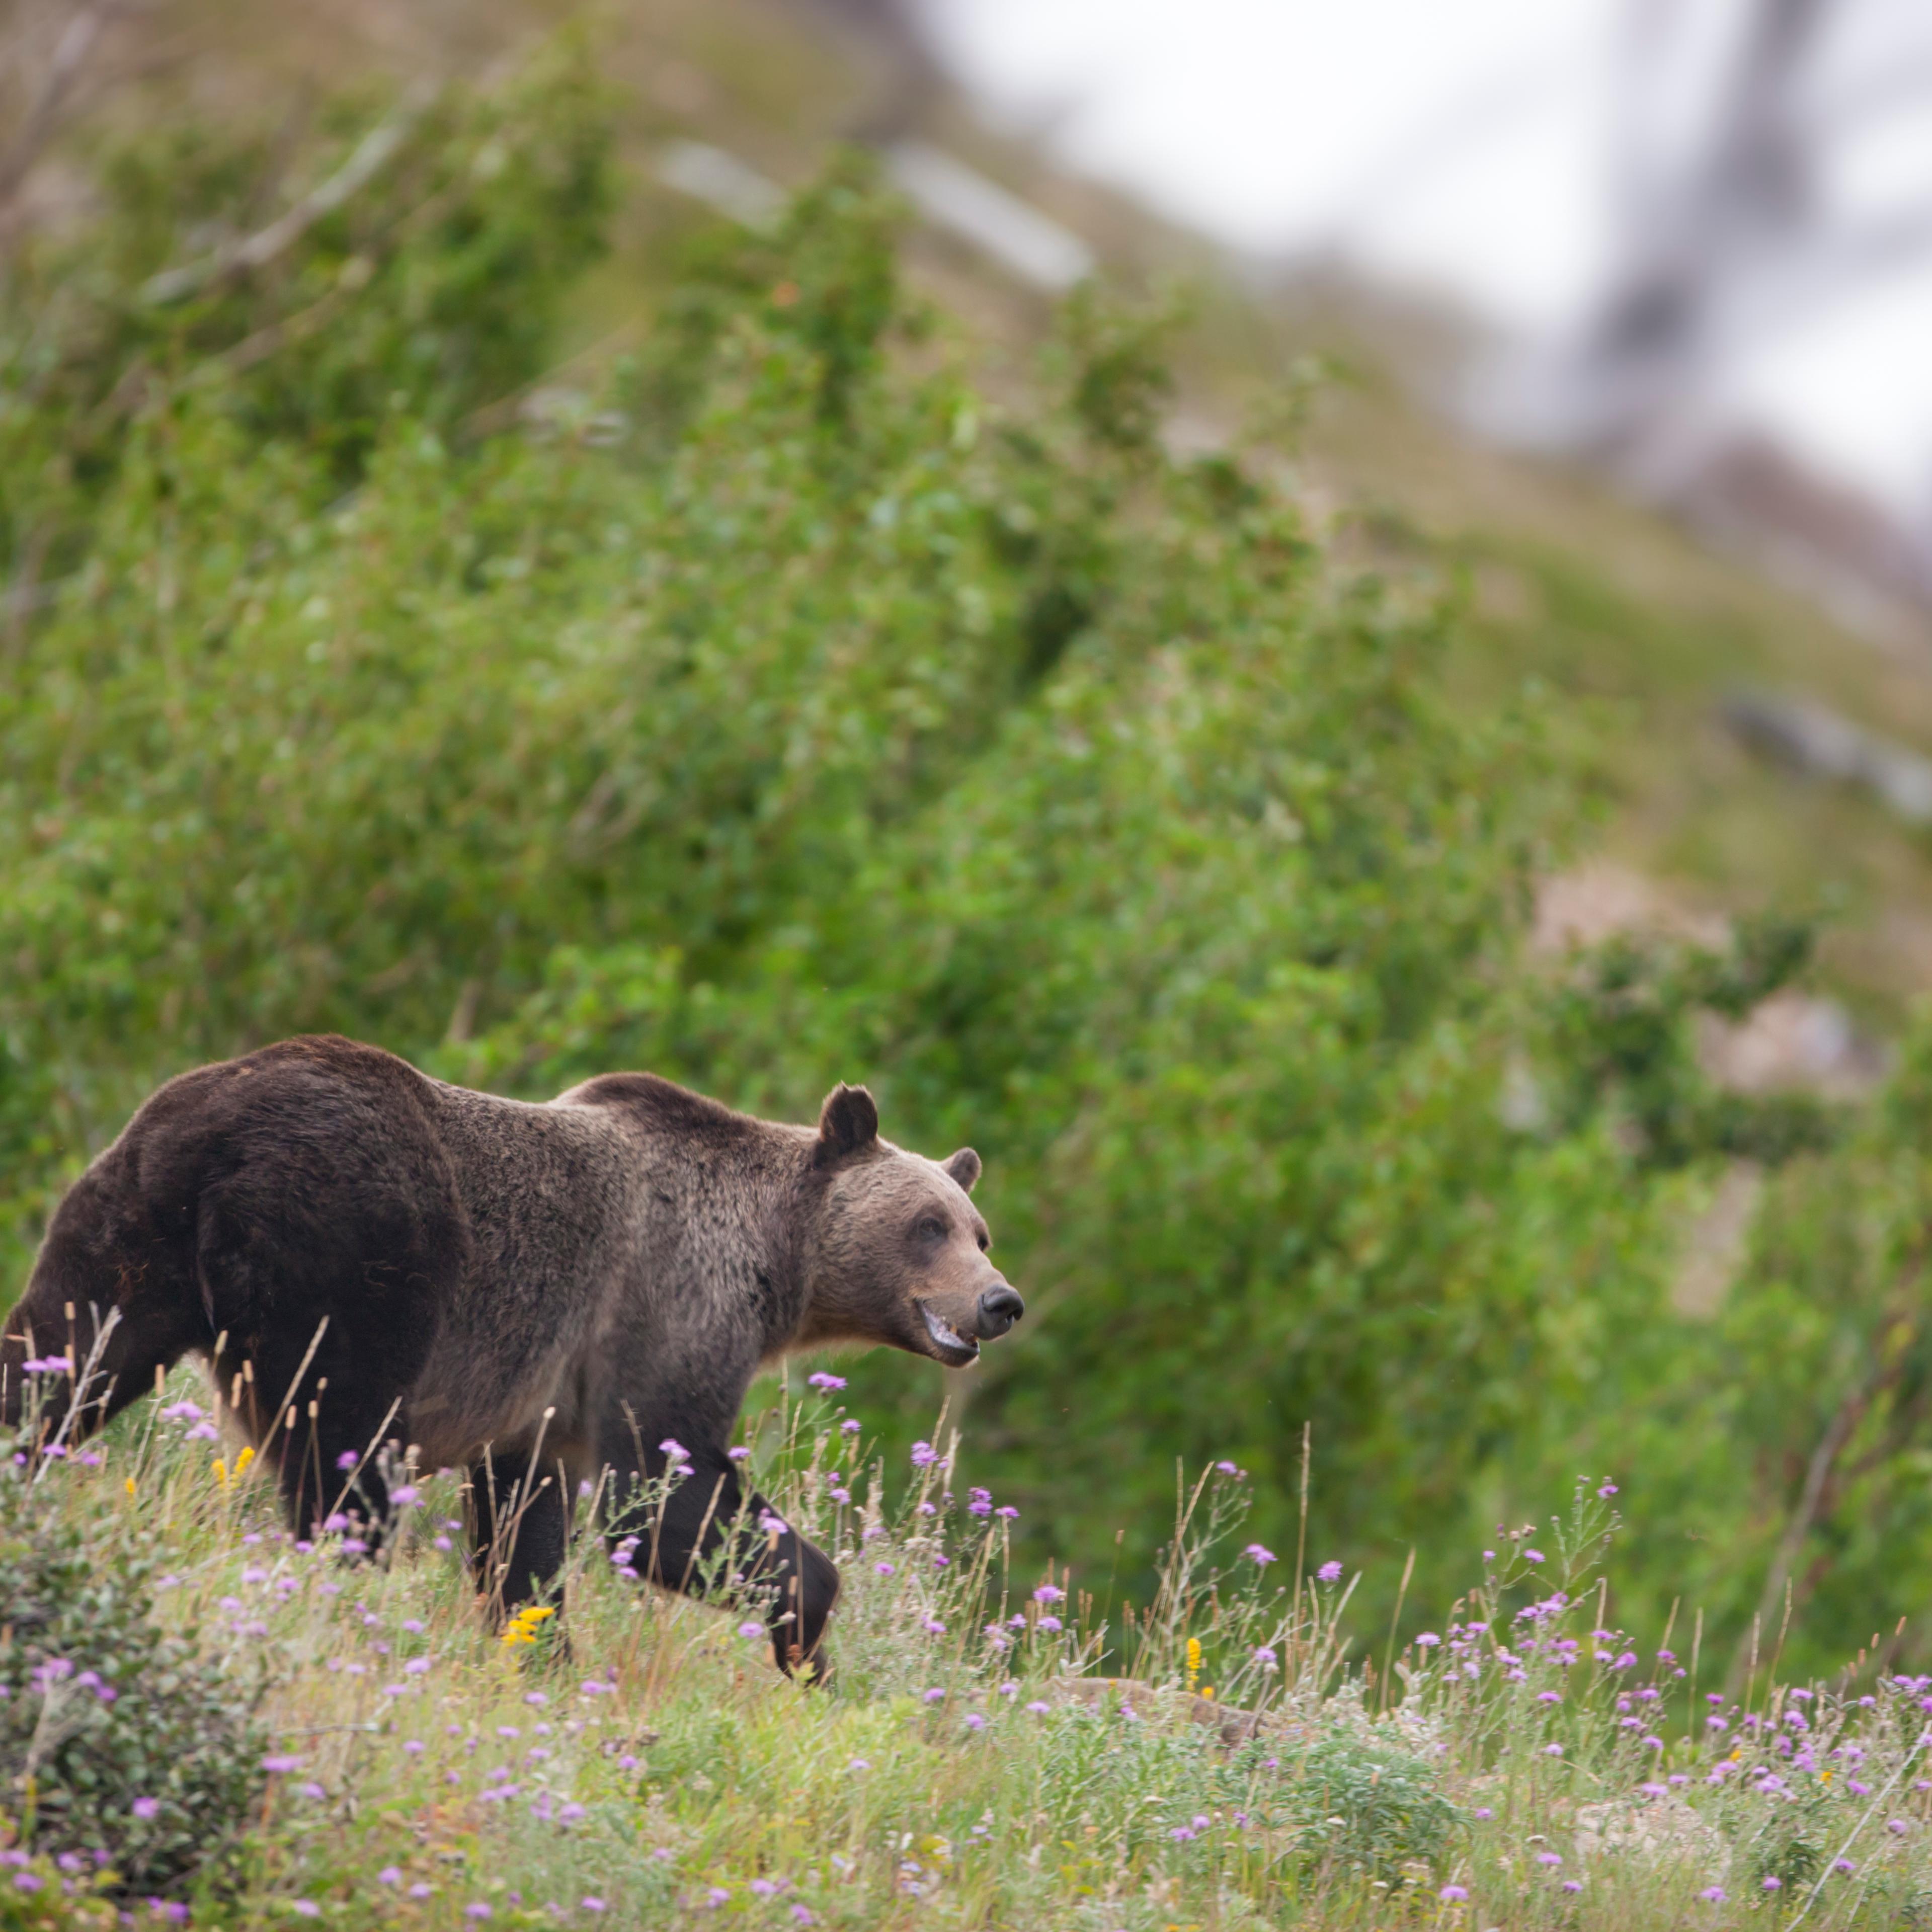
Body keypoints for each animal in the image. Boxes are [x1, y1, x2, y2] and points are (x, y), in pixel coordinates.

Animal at [0, 1035, 1024, 1680]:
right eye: (927, 1225)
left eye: (979, 1229)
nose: (1000, 1301)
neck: (777, 1265)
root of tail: (215, 1132)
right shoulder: (662, 1306)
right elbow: (660, 1488)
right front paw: (805, 1635)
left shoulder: (536, 1406)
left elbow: (526, 1532)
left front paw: (540, 1650)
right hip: (358, 1253)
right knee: (347, 1457)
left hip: (131, 1231)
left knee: (58, 1363)